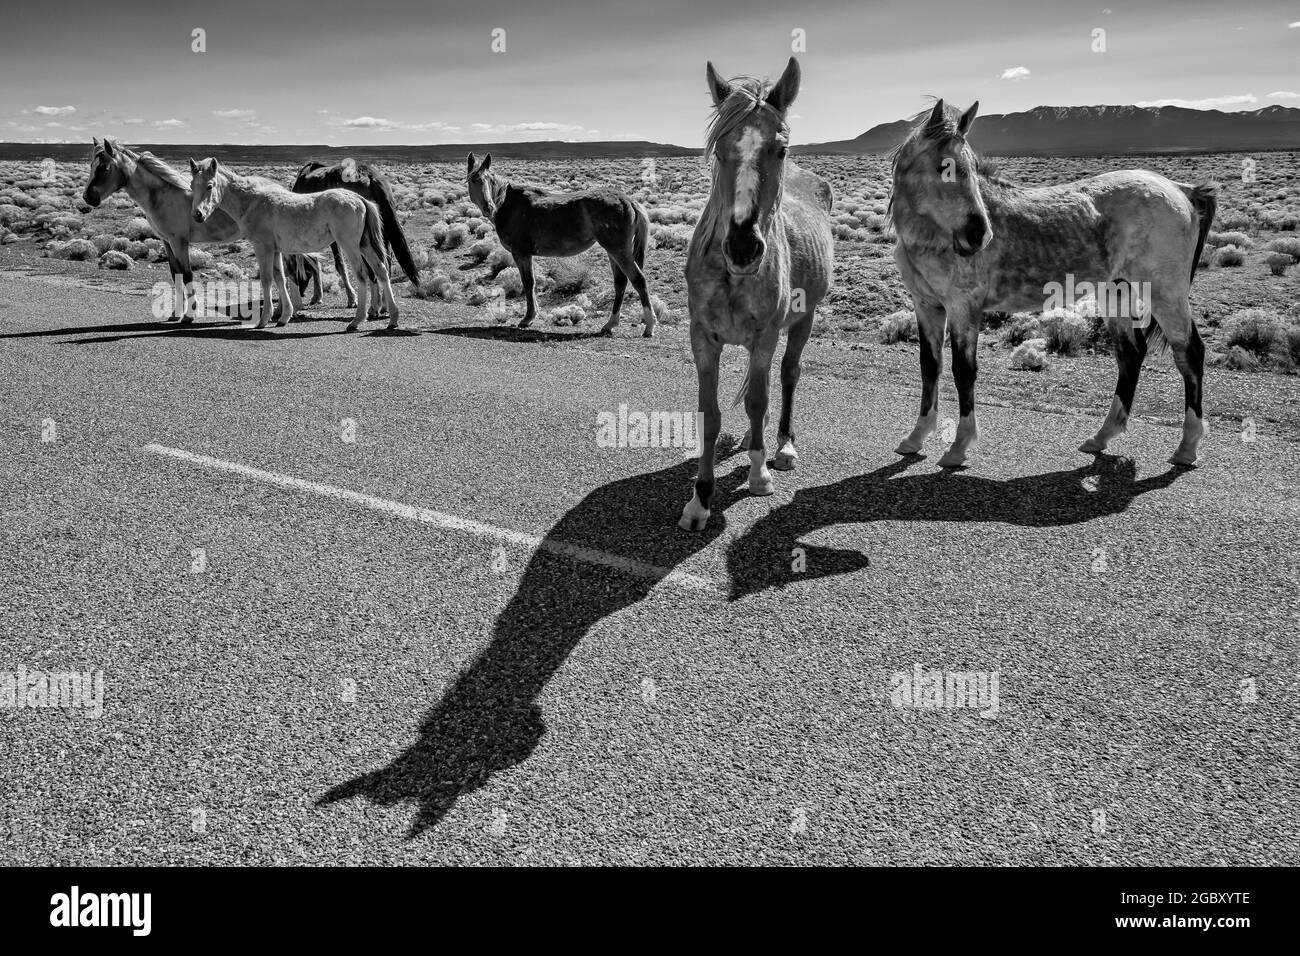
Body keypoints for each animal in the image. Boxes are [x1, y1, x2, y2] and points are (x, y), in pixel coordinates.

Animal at [81, 137, 247, 322]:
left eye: (104, 168)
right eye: (92, 165)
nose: (88, 197)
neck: (163, 197)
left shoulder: (179, 242)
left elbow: (187, 274)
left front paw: (190, 314)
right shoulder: (167, 241)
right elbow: (176, 274)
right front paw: (176, 313)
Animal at [189, 158, 397, 330]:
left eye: (209, 186)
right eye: (192, 185)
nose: (197, 215)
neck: (252, 201)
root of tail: (360, 199)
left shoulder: (263, 248)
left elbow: (267, 279)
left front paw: (264, 320)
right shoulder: (276, 251)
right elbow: (280, 278)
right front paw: (284, 316)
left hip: (350, 246)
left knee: (362, 275)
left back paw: (357, 320)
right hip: (365, 245)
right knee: (381, 270)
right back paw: (392, 318)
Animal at [466, 153, 655, 336]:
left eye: (489, 180)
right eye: (473, 179)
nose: (489, 207)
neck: (509, 205)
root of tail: (629, 201)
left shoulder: (521, 253)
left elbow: (528, 282)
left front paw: (527, 318)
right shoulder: (525, 254)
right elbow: (531, 283)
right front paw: (533, 315)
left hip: (619, 251)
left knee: (638, 280)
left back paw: (649, 326)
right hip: (613, 251)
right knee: (620, 282)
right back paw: (610, 324)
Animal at [678, 57, 835, 532]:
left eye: (780, 149)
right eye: (718, 150)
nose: (743, 247)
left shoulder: (766, 335)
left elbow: (760, 397)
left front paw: (759, 473)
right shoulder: (702, 339)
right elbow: (710, 414)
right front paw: (700, 498)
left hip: (804, 320)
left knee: (787, 375)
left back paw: (780, 446)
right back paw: (754, 439)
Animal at [889, 99, 1217, 467]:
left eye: (972, 168)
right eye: (942, 166)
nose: (979, 234)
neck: (929, 238)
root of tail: (1181, 190)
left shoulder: (963, 308)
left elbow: (963, 371)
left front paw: (959, 446)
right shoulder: (927, 306)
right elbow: (930, 367)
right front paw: (916, 437)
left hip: (1165, 293)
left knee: (1189, 353)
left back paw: (1187, 447)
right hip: (1117, 291)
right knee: (1131, 355)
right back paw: (1102, 437)